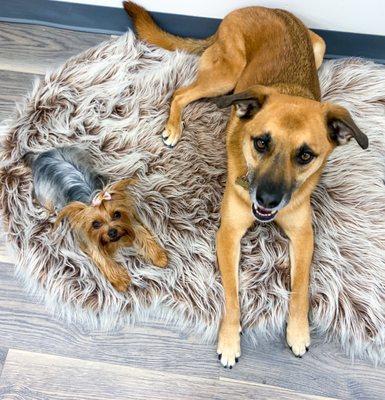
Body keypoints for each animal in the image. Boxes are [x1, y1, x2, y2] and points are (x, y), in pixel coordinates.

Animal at [25, 147, 166, 290]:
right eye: (95, 224)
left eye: (117, 214)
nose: (112, 232)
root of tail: (40, 156)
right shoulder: (87, 237)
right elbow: (100, 256)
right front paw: (120, 280)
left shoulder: (129, 220)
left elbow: (142, 233)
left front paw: (159, 257)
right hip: (45, 195)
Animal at [124, 1, 368, 368]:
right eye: (261, 143)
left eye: (306, 155)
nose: (267, 200)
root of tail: (248, 9)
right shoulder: (228, 234)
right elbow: (232, 293)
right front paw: (229, 339)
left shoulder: (303, 235)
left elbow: (300, 287)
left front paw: (298, 331)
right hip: (227, 76)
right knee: (181, 93)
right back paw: (173, 128)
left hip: (318, 47)